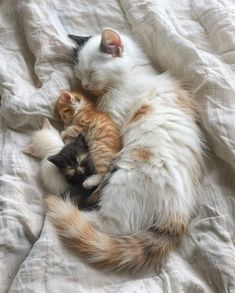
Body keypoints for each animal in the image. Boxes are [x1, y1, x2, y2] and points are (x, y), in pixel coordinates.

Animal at [46, 28, 206, 272]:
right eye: (79, 73)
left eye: (92, 72)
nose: (84, 84)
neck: (132, 73)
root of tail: (177, 218)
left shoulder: (113, 119)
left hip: (122, 181)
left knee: (106, 225)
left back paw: (75, 200)